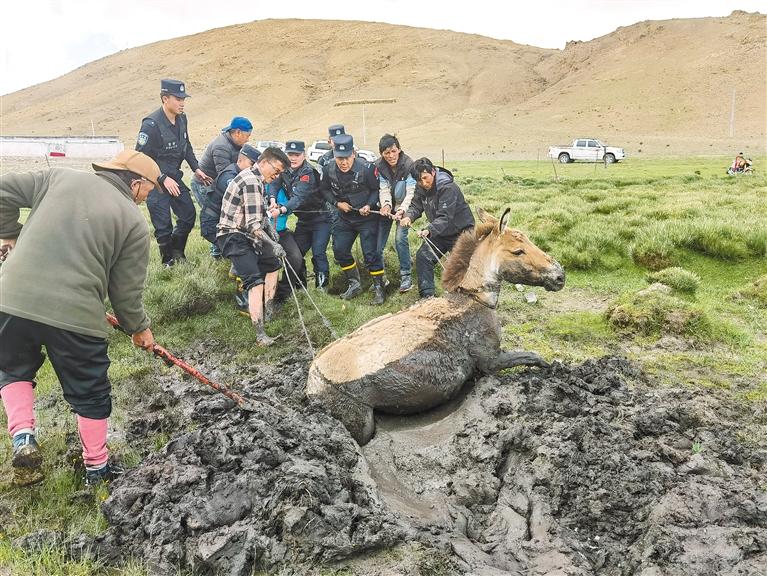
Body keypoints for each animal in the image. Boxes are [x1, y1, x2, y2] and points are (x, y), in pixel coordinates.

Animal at [306, 207, 566, 445]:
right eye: (518, 251)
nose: (560, 276)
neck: (473, 298)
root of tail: (313, 377)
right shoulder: (491, 360)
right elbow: (531, 355)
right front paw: (551, 366)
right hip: (361, 425)